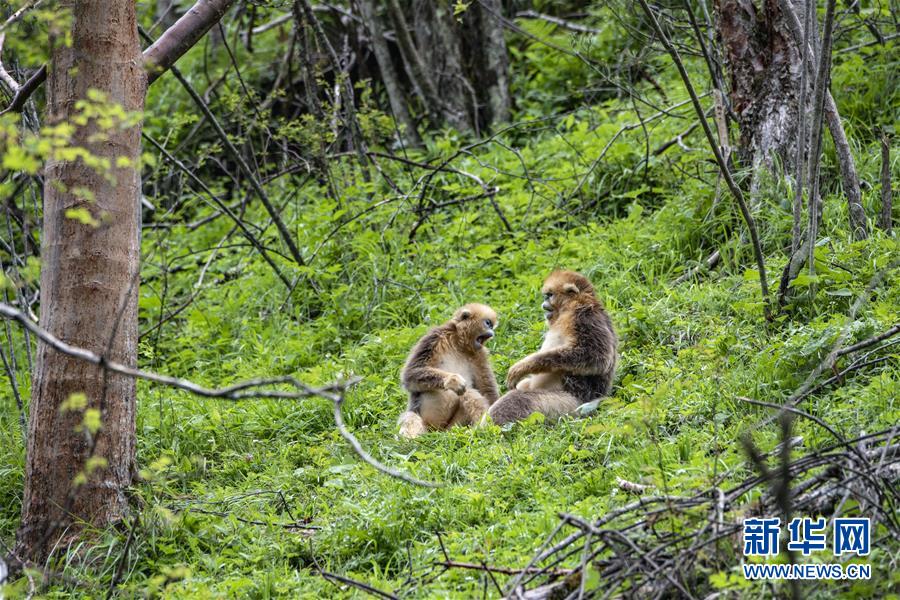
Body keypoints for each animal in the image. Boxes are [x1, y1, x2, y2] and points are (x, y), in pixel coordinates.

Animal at [400, 304, 500, 436]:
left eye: (491, 326)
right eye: (488, 323)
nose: (492, 332)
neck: (459, 344)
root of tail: (437, 431)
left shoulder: (480, 353)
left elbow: (487, 390)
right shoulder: (434, 337)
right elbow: (409, 375)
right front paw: (452, 380)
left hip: (452, 426)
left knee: (468, 393)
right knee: (411, 416)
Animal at [486, 270, 620, 424]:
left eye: (549, 295)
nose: (544, 305)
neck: (571, 307)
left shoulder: (585, 317)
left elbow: (595, 357)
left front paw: (522, 367)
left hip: (569, 406)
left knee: (516, 399)